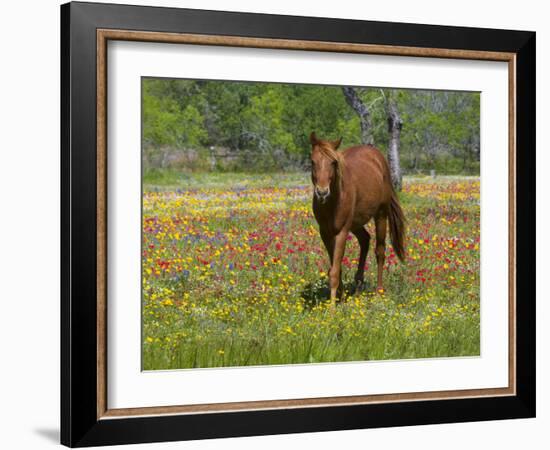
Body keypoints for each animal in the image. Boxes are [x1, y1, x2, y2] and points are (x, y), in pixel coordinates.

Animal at [312, 133, 408, 302]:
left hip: (380, 215)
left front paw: (332, 307)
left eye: (333, 162)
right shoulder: (325, 233)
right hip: (356, 223)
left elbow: (335, 271)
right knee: (365, 240)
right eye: (312, 161)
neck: (332, 202)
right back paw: (358, 284)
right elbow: (335, 268)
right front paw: (341, 298)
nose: (322, 192)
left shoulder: (342, 232)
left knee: (380, 250)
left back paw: (378, 291)